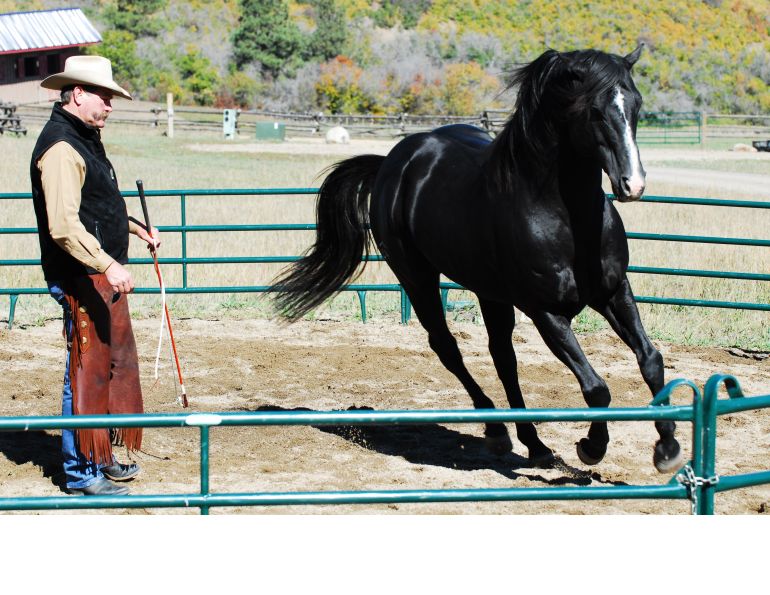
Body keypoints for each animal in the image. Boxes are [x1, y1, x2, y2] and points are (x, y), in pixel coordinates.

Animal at [271, 46, 683, 473]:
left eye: (636, 104)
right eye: (595, 111)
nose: (633, 184)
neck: (566, 218)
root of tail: (392, 162)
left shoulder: (615, 292)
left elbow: (651, 360)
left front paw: (667, 448)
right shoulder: (548, 313)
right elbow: (596, 387)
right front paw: (591, 446)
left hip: (491, 293)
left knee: (503, 359)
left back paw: (534, 445)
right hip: (417, 277)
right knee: (448, 346)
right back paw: (498, 430)